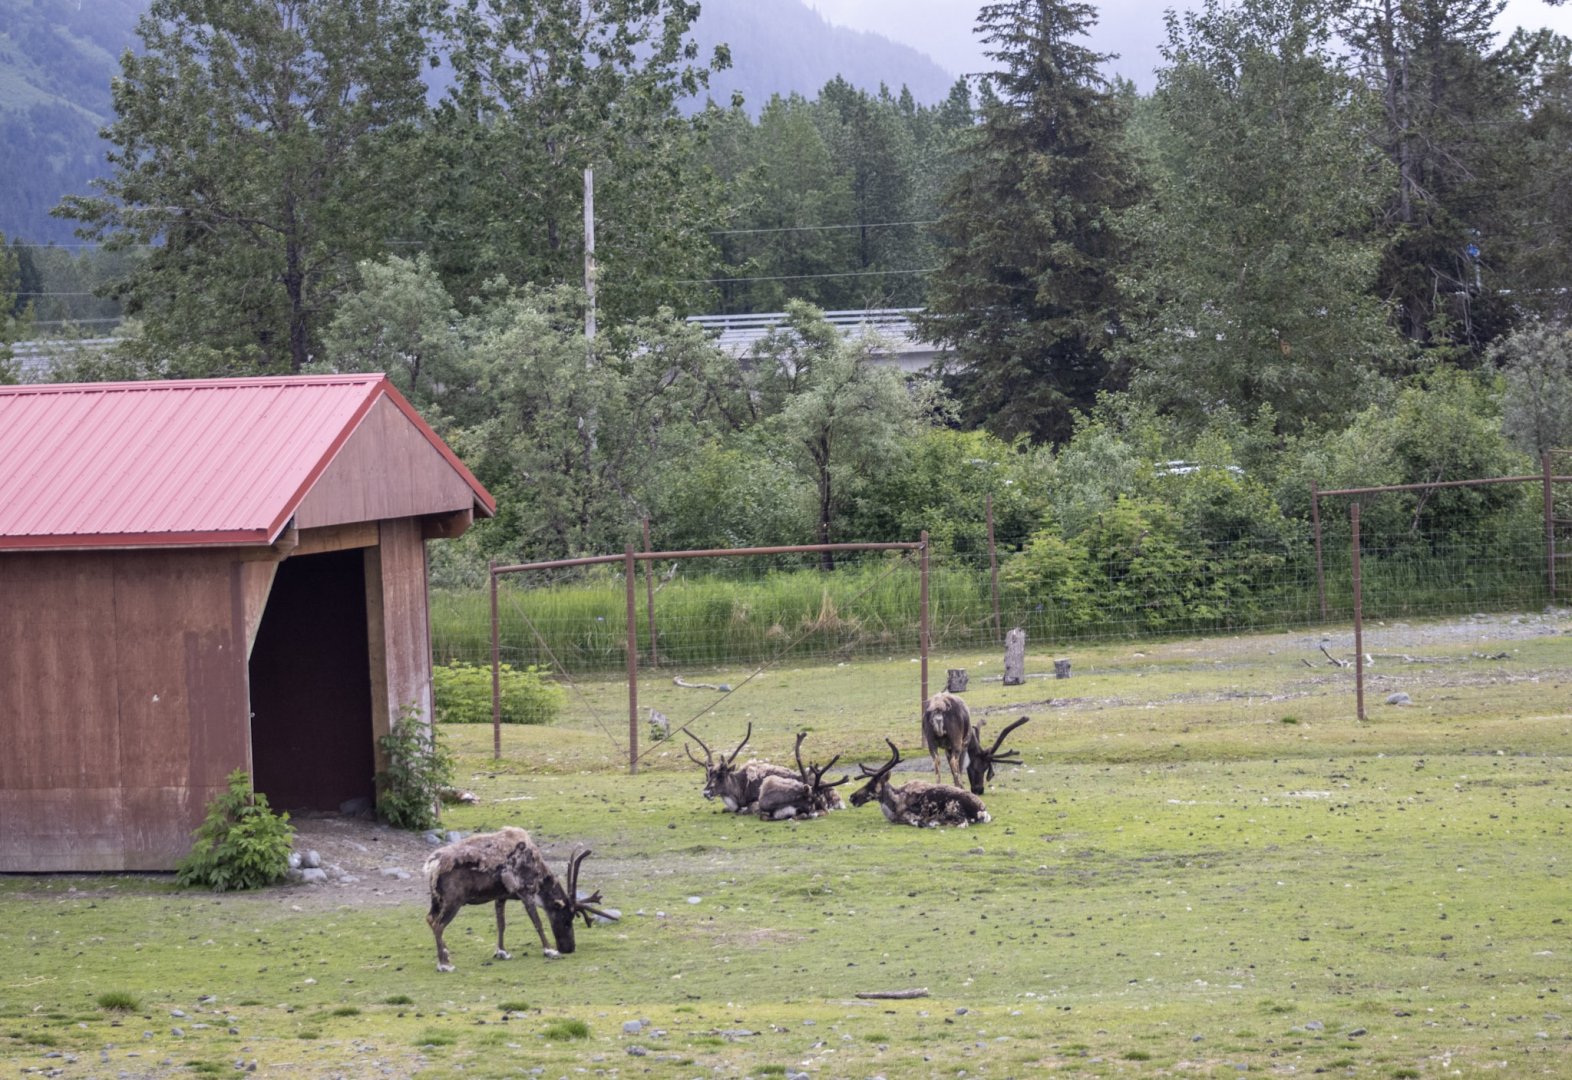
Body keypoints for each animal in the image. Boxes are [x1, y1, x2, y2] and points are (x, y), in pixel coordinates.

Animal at [423, 827, 616, 972]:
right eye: (567, 919)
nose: (569, 948)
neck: (539, 874)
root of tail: (432, 865)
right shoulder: (526, 892)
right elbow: (537, 923)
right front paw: (550, 950)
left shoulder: (501, 897)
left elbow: (501, 924)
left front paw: (502, 952)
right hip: (453, 901)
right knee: (438, 925)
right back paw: (445, 964)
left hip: (436, 899)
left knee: (430, 919)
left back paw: (446, 954)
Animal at [850, 738, 991, 827]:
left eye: (871, 784)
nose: (852, 797)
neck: (894, 802)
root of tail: (982, 810)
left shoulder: (909, 816)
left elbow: (915, 821)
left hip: (954, 809)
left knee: (962, 823)